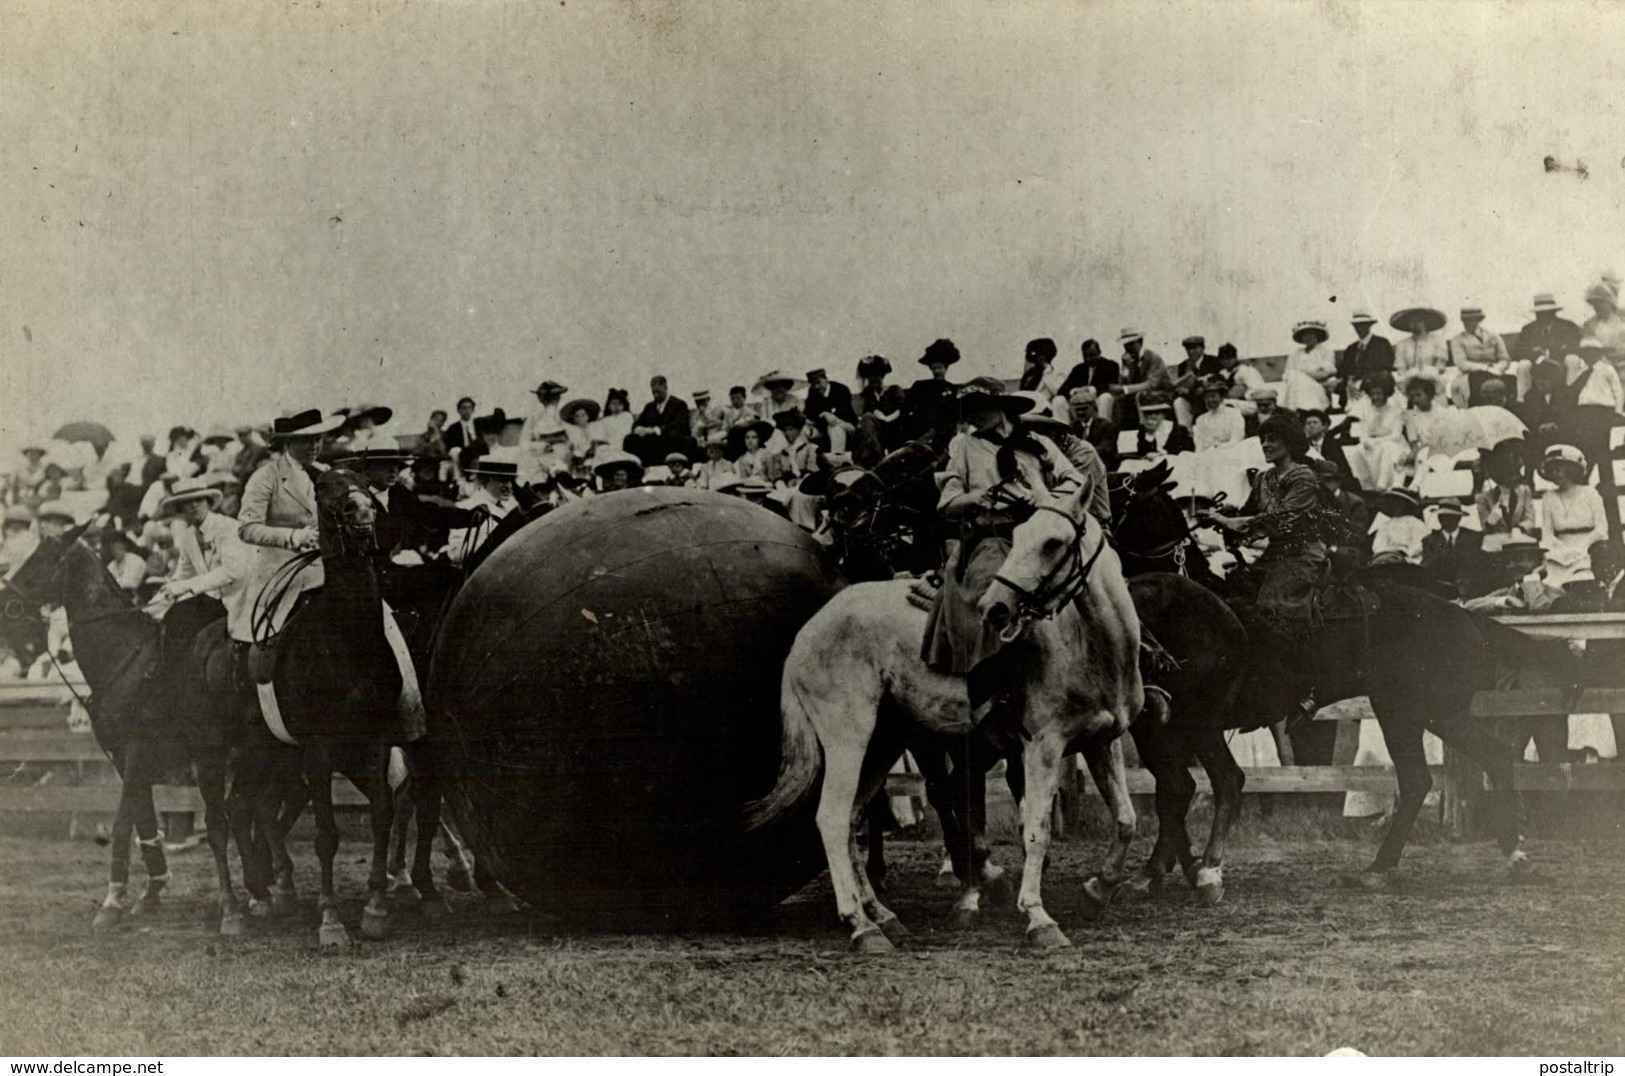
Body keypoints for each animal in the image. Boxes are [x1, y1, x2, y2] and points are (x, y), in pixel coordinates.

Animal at [3, 529, 247, 936]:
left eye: (42, 557)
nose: (5, 602)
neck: (125, 659)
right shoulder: (124, 760)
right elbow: (143, 821)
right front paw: (151, 892)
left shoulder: (136, 753)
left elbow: (120, 825)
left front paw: (112, 901)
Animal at [747, 487, 1144, 955]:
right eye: (1019, 535)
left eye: (1053, 542)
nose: (997, 608)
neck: (1086, 645)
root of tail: (807, 632)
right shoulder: (1042, 747)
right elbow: (1036, 829)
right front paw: (1038, 917)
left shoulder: (1102, 742)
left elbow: (1126, 820)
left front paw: (1098, 891)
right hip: (849, 740)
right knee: (831, 818)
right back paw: (860, 926)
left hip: (882, 745)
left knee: (851, 820)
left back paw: (882, 916)